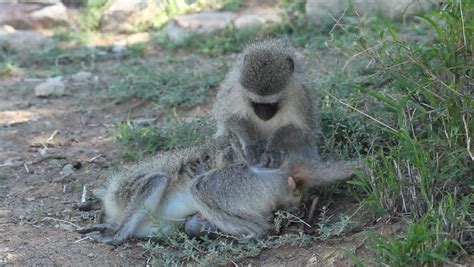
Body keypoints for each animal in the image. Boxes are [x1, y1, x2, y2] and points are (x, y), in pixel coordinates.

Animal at [213, 38, 320, 168]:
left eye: (273, 103)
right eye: (254, 102)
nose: (263, 115)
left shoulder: (301, 95)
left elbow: (301, 129)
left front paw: (272, 149)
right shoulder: (235, 89)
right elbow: (231, 117)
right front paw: (252, 145)